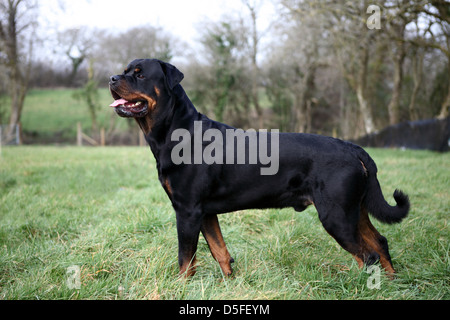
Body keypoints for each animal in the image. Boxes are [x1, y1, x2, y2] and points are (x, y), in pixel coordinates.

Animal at [108, 58, 408, 278]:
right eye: (125, 71)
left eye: (139, 75)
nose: (111, 78)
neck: (176, 131)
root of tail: (354, 149)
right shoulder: (205, 213)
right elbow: (219, 251)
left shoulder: (187, 211)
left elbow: (186, 260)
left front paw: (181, 287)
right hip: (355, 210)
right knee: (380, 243)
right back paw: (392, 282)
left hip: (336, 215)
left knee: (367, 254)